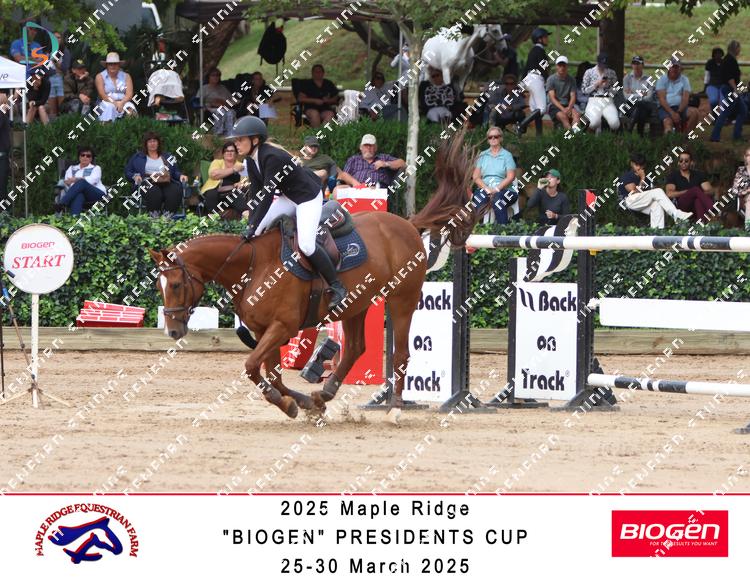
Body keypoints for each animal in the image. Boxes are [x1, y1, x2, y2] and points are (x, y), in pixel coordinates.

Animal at [149, 135, 477, 424]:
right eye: (159, 287)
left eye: (176, 285)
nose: (173, 332)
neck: (252, 266)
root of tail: (408, 224)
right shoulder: (266, 330)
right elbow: (272, 375)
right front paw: (303, 403)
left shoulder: (282, 326)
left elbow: (253, 367)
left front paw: (293, 404)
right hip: (355, 304)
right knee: (355, 347)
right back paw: (325, 394)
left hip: (402, 299)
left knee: (401, 353)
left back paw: (394, 409)